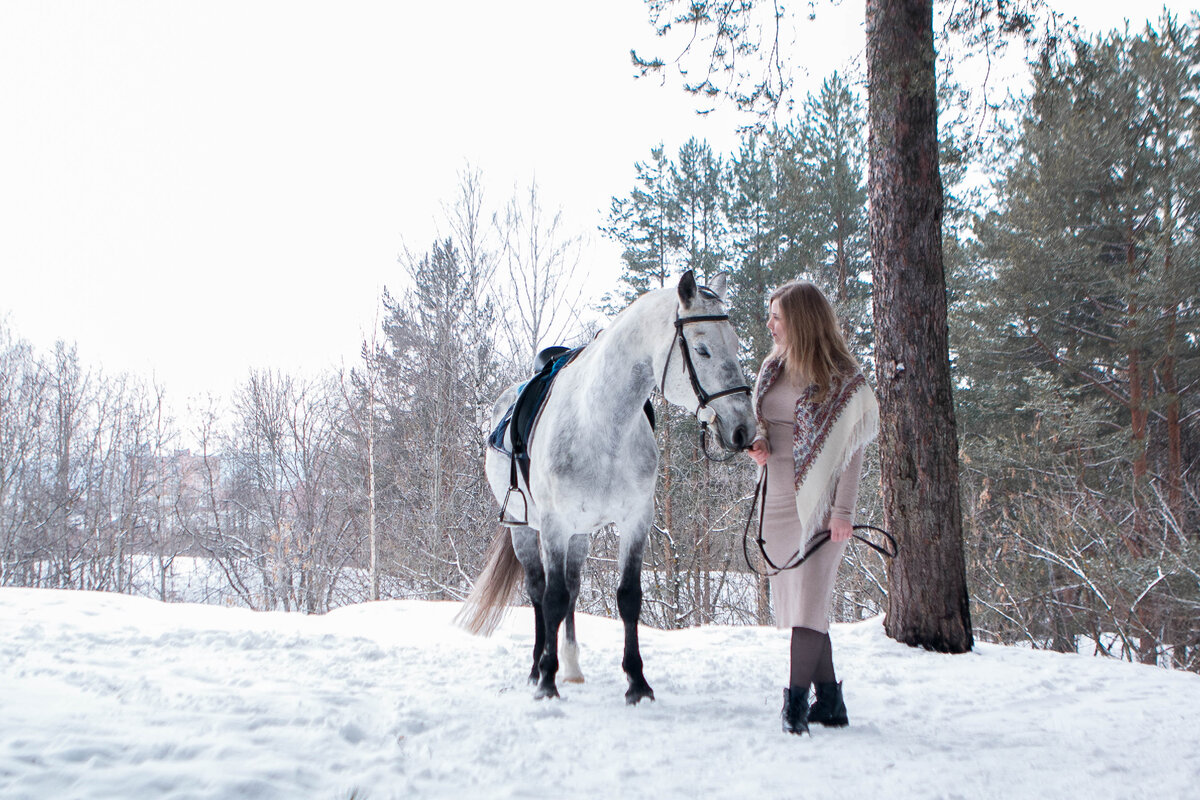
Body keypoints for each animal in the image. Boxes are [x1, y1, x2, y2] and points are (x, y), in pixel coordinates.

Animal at [453, 272, 753, 705]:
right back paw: (538, 668)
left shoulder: (635, 521)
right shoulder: (554, 526)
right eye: (702, 348)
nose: (743, 428)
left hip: (580, 535)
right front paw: (546, 681)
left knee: (572, 588)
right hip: (524, 530)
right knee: (540, 592)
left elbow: (627, 598)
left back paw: (572, 667)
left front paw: (637, 683)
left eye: (736, 344)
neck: (600, 424)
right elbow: (552, 598)